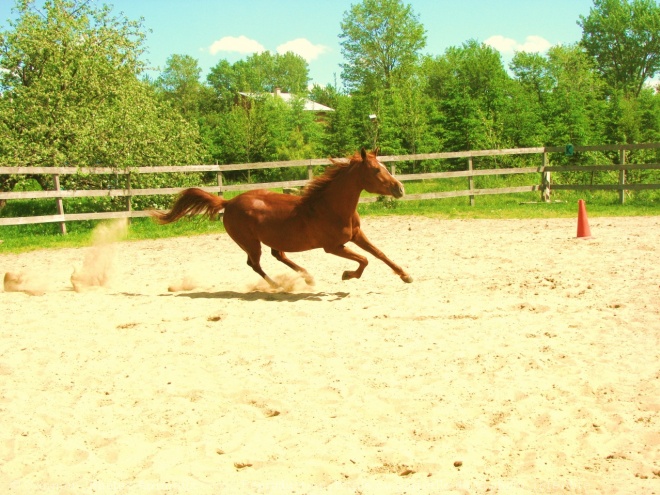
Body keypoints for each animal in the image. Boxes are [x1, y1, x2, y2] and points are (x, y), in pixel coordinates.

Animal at [153, 147, 416, 286]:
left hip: (273, 238)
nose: (400, 188)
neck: (331, 207)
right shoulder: (333, 247)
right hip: (250, 242)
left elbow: (379, 254)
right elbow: (364, 260)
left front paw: (405, 275)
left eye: (384, 166)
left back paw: (306, 277)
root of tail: (228, 202)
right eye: (375, 170)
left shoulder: (357, 235)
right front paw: (347, 275)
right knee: (255, 264)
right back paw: (278, 285)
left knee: (277, 255)